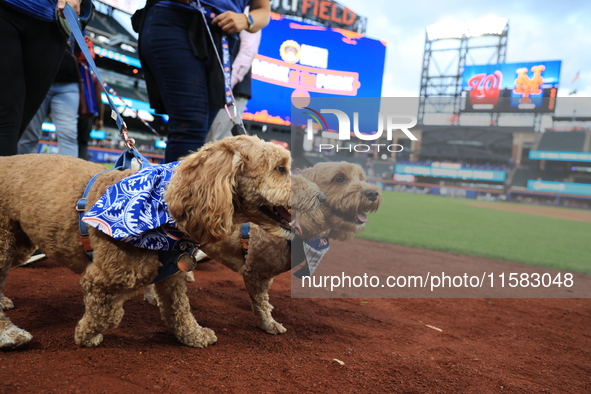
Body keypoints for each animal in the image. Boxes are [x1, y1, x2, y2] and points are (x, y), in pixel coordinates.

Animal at [0, 135, 292, 348]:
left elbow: (179, 309)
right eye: (280, 168)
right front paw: (86, 336)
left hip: (19, 243)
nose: (308, 197)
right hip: (5, 241)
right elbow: (108, 313)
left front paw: (193, 335)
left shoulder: (172, 276)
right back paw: (9, 334)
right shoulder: (100, 279)